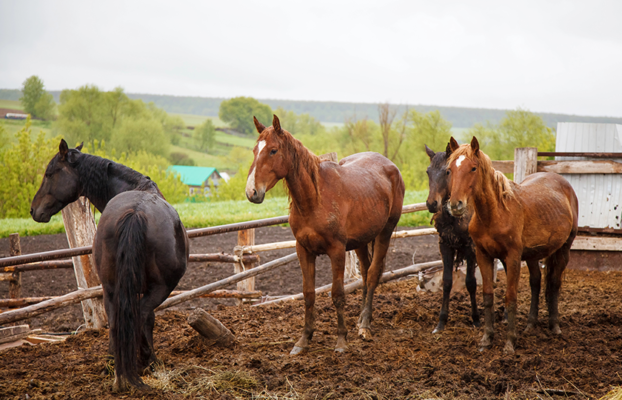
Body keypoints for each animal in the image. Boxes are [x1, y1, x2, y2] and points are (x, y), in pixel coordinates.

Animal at [31, 139, 188, 390]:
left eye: (48, 173)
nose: (33, 210)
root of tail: (136, 212)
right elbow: (148, 319)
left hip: (111, 287)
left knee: (117, 320)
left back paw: (116, 366)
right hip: (160, 288)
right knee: (142, 315)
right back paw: (146, 361)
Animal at [246, 115, 408, 354]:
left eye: (273, 150)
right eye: (255, 150)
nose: (252, 192)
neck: (314, 199)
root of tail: (391, 166)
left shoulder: (337, 251)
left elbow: (337, 294)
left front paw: (341, 341)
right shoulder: (303, 250)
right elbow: (308, 294)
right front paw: (304, 340)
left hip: (384, 233)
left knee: (373, 274)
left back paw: (365, 325)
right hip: (361, 241)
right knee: (366, 273)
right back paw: (361, 319)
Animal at [424, 142, 482, 332]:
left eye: (446, 171)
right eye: (428, 171)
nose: (431, 204)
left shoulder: (471, 248)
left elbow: (471, 282)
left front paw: (476, 319)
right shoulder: (445, 245)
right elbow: (447, 281)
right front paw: (441, 321)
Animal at [448, 138, 580, 354]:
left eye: (473, 168)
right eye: (450, 169)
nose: (455, 205)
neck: (494, 214)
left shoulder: (513, 258)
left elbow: (511, 297)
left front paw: (510, 343)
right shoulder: (483, 256)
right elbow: (488, 295)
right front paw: (486, 339)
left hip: (564, 249)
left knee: (554, 283)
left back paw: (555, 326)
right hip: (534, 255)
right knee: (536, 282)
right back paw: (530, 324)